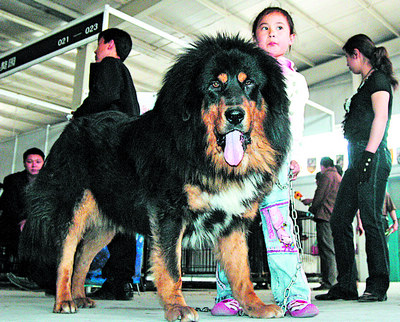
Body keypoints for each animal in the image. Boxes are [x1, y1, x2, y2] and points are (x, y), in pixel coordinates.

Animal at [20, 34, 290, 320]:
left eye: (249, 83)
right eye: (215, 84)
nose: (235, 115)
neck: (204, 154)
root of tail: (70, 128)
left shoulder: (234, 221)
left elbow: (241, 272)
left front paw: (254, 306)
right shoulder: (169, 213)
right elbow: (172, 268)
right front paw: (177, 306)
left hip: (106, 224)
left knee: (82, 256)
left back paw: (80, 295)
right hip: (74, 208)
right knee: (65, 256)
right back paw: (64, 300)